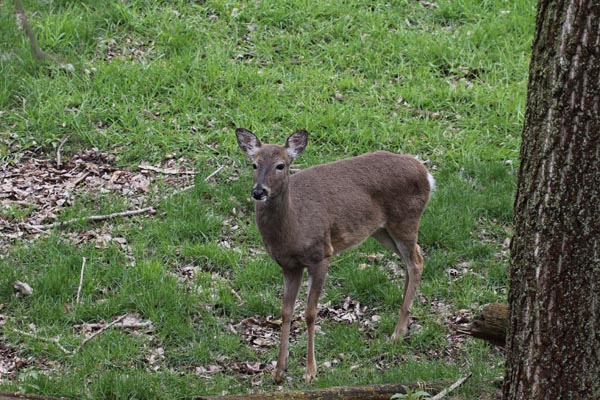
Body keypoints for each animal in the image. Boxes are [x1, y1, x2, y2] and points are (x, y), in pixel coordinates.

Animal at [236, 129, 436, 384]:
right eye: (254, 164)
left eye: (281, 165)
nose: (259, 191)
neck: (294, 225)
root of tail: (426, 173)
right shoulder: (289, 265)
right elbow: (286, 311)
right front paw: (279, 370)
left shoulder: (321, 254)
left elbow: (310, 313)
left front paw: (310, 371)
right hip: (382, 230)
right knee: (413, 259)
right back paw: (402, 323)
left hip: (406, 219)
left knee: (416, 262)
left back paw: (397, 334)